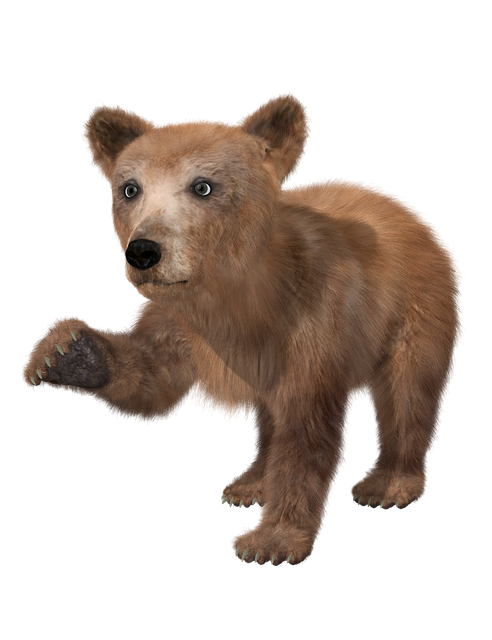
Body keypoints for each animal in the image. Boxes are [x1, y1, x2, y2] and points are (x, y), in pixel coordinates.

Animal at [21, 92, 462, 566]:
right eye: (130, 188)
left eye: (202, 186)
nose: (143, 251)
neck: (232, 296)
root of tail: (408, 209)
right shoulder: (179, 321)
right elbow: (153, 378)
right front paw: (64, 352)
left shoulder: (313, 318)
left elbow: (306, 426)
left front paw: (271, 540)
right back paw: (250, 482)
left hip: (416, 303)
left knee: (408, 388)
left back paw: (389, 483)